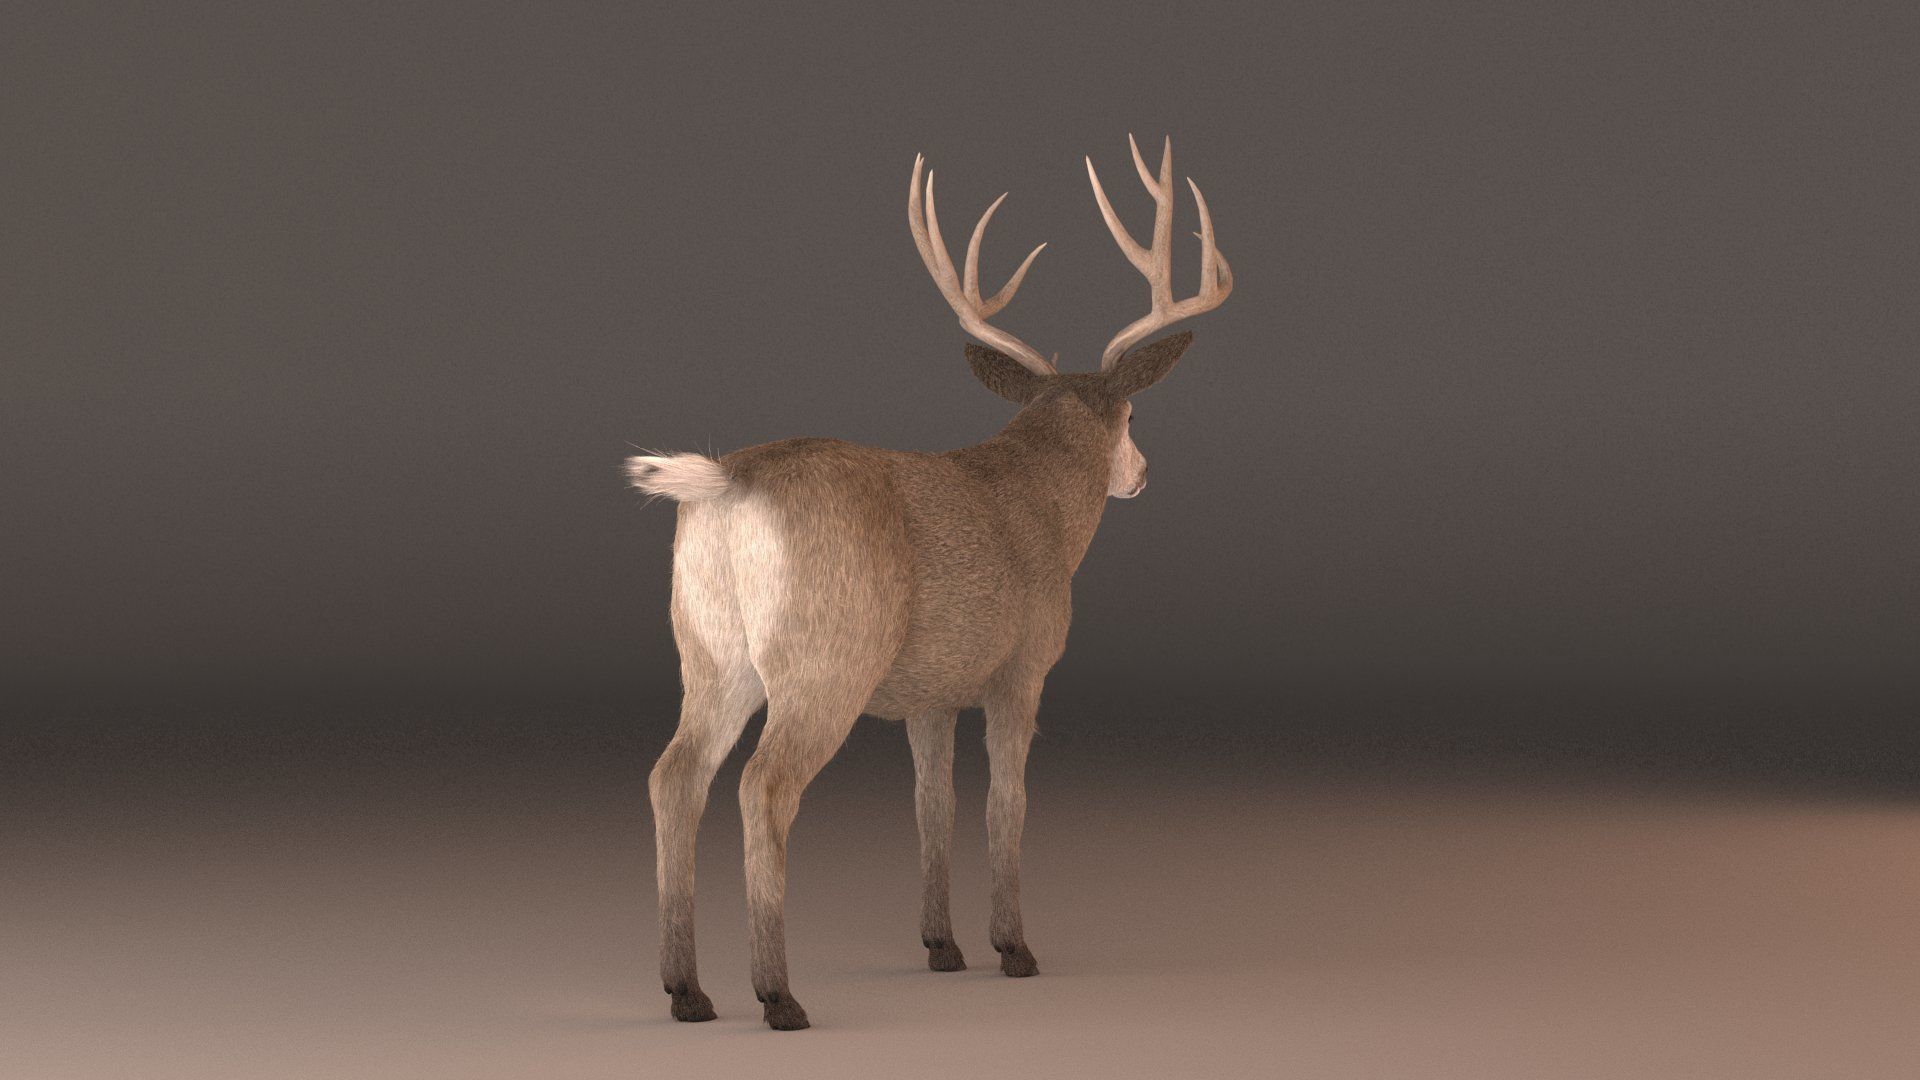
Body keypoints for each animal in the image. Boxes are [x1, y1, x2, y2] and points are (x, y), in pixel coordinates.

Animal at [626, 136, 1232, 1030]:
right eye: (1133, 416)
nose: (1143, 474)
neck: (1043, 501)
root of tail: (730, 482)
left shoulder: (931, 692)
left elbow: (932, 805)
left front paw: (943, 946)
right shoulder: (1022, 666)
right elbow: (1006, 801)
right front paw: (1013, 948)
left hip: (709, 652)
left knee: (675, 776)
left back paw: (687, 992)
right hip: (825, 658)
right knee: (764, 787)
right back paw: (778, 996)